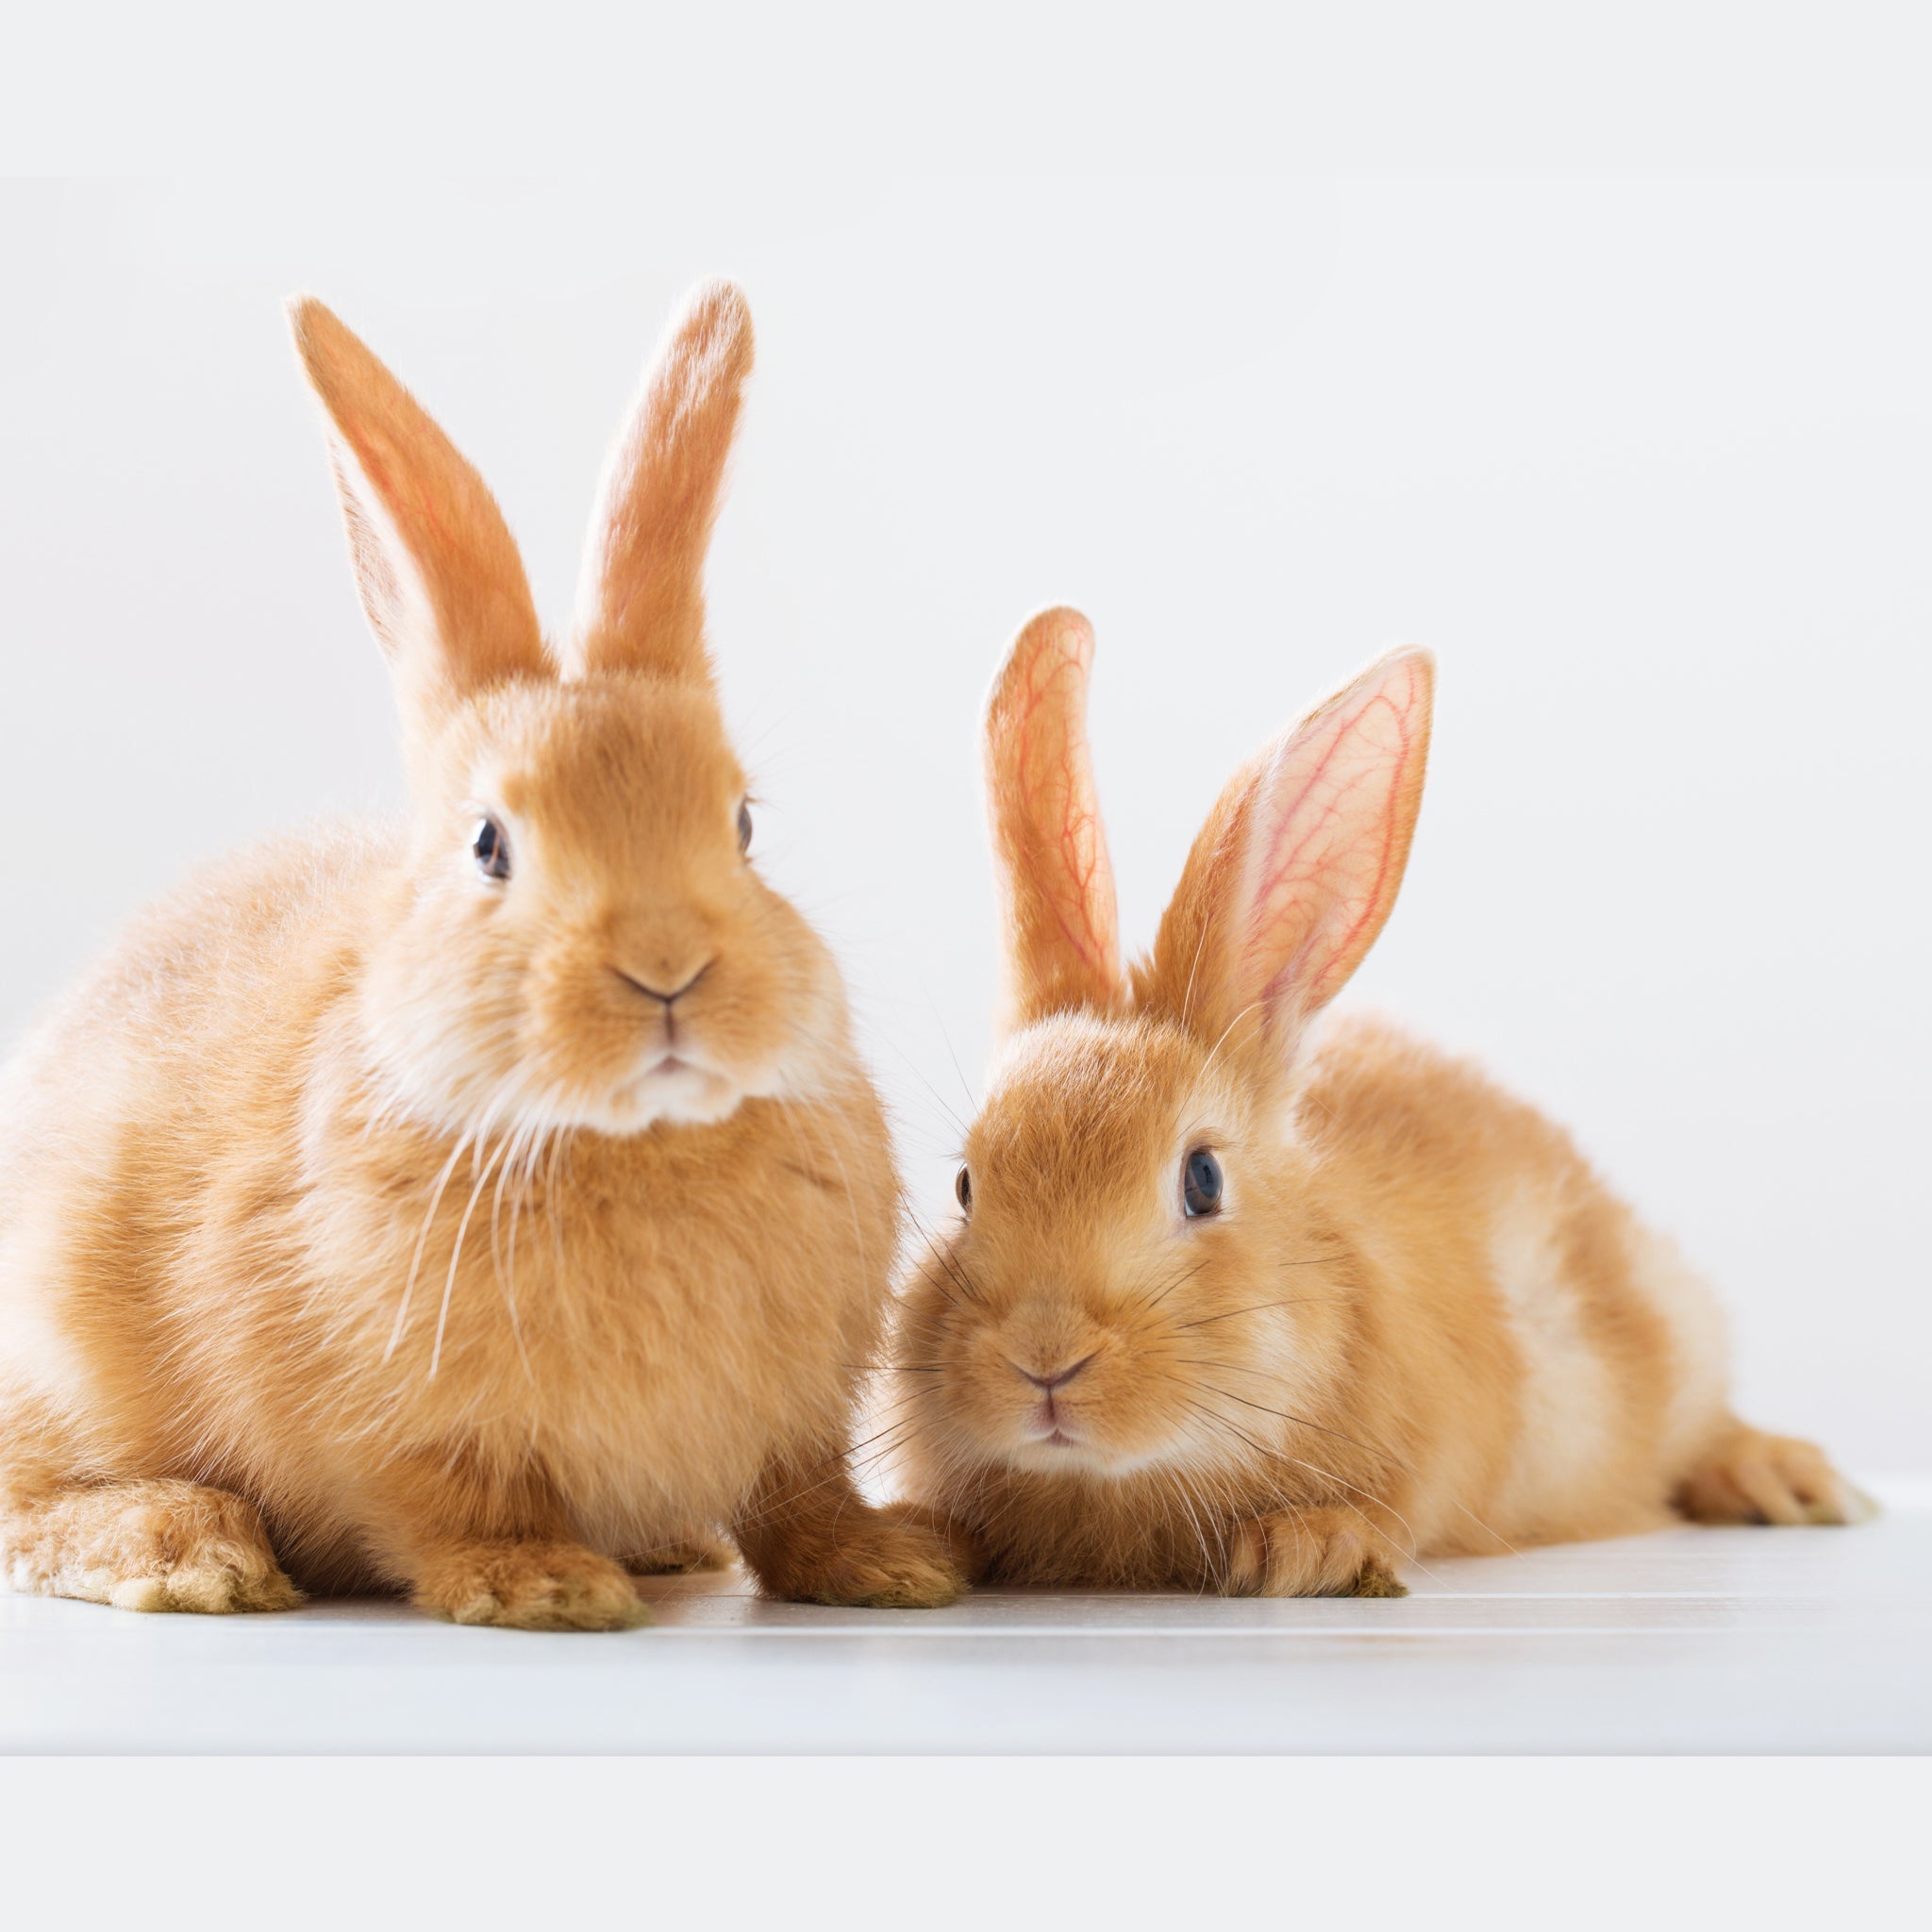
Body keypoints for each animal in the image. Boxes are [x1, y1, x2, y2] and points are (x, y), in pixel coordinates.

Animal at [0, 281, 963, 1628]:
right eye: (488, 843)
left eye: (742, 823)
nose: (668, 968)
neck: (634, 1141)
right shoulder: (398, 1431)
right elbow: (450, 1505)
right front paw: (544, 1585)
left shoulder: (801, 1416)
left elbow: (801, 1497)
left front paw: (892, 1565)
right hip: (55, 1346)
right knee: (27, 1495)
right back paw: (187, 1549)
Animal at [884, 607, 1862, 1597]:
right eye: (966, 1187)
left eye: (1202, 1180)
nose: (1044, 1357)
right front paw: (914, 1545)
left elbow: (1388, 1511)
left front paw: (1306, 1548)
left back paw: (1783, 1482)